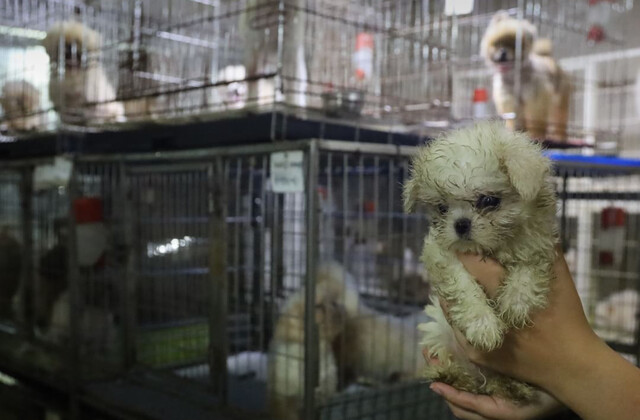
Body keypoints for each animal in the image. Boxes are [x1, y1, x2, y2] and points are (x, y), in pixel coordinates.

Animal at [404, 121, 560, 400]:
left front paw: (516, 302)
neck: (493, 248)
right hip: (439, 332)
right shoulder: (442, 254)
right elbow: (464, 287)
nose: (460, 224)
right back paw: (451, 374)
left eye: (489, 200)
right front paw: (483, 326)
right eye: (442, 208)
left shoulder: (538, 244)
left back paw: (515, 387)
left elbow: (528, 269)